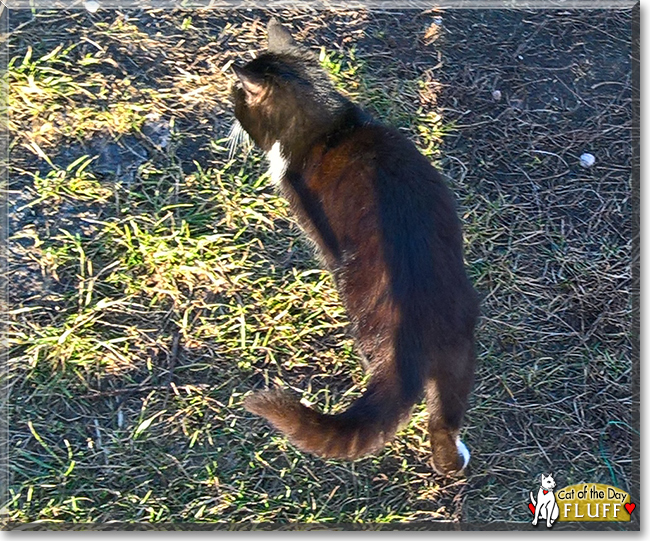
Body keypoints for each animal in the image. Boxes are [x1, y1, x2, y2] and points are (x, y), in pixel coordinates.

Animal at [228, 16, 476, 472]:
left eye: (238, 97)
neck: (326, 126)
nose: (231, 114)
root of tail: (413, 334)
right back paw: (451, 462)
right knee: (443, 420)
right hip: (460, 344)